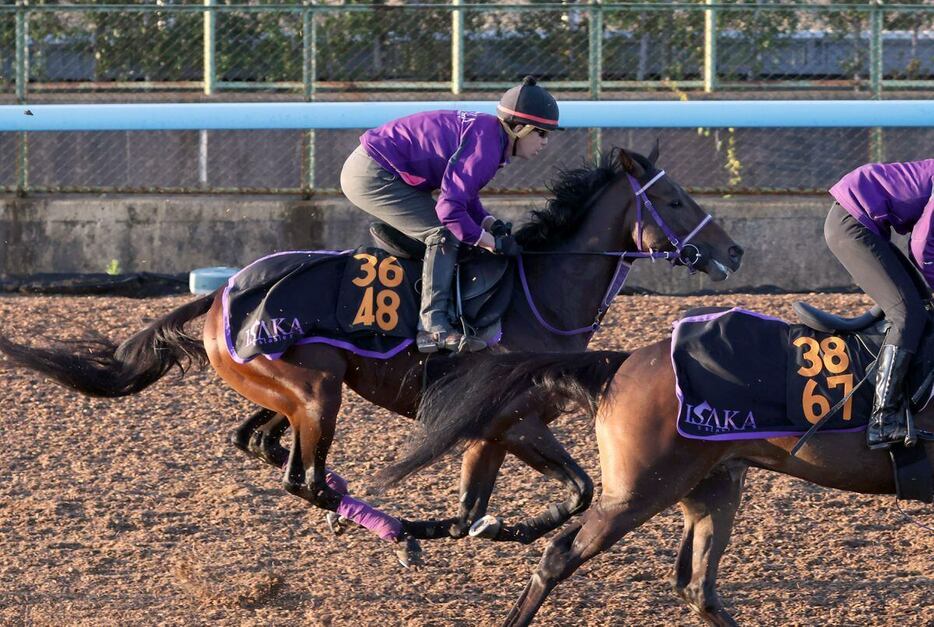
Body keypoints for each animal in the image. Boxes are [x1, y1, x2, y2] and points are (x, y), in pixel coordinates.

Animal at [0, 151, 744, 560]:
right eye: (674, 198)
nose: (734, 251)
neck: (537, 292)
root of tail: (221, 296)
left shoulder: (493, 427)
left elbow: (492, 504)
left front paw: (489, 527)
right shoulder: (511, 419)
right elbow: (573, 489)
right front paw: (471, 528)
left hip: (289, 392)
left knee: (262, 445)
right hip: (314, 393)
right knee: (303, 479)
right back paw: (398, 530)